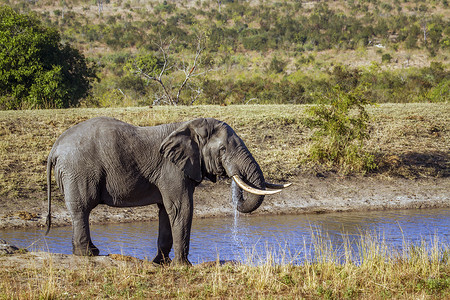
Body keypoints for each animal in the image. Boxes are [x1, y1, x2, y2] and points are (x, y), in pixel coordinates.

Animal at [45, 117, 290, 264]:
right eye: (222, 150)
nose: (230, 177)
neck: (189, 127)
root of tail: (55, 147)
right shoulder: (171, 169)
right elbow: (183, 209)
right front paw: (184, 265)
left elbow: (166, 210)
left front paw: (161, 263)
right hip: (78, 169)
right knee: (81, 209)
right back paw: (86, 254)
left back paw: (91, 252)